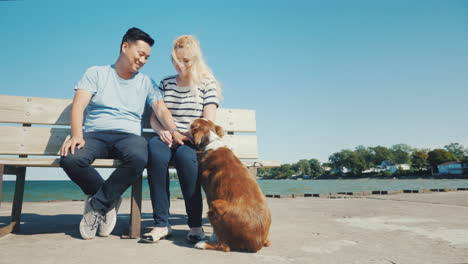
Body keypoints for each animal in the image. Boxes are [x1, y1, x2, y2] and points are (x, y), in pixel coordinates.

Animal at [189, 118, 270, 253]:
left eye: (191, 126)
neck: (212, 141)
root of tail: (257, 242)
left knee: (225, 246)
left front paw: (212, 237)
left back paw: (202, 244)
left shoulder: (210, 194)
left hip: (216, 204)